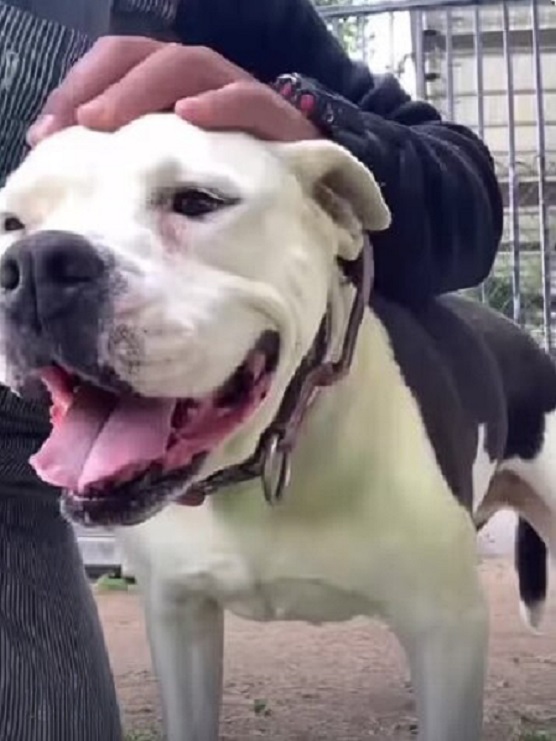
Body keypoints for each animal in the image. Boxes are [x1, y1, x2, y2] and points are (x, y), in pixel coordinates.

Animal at [1, 114, 556, 740]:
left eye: (197, 201)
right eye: (13, 222)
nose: (35, 265)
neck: (258, 465)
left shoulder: (447, 628)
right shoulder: (177, 616)